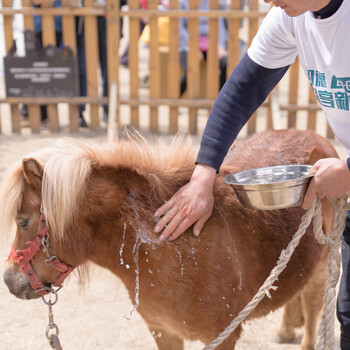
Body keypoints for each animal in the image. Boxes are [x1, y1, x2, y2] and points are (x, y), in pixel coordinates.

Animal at [1, 129, 338, 350]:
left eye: (23, 221)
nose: (9, 280)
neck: (173, 249)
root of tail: (320, 141)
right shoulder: (163, 332)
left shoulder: (223, 336)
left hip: (322, 269)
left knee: (312, 308)